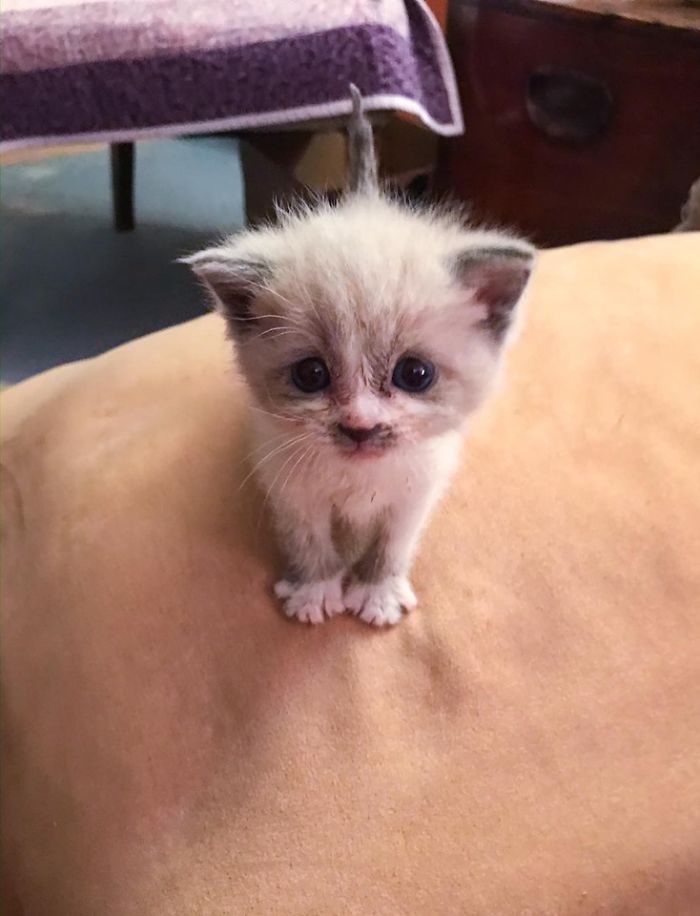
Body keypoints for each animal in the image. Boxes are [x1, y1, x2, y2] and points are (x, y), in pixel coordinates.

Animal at [186, 86, 536, 628]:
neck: (358, 477)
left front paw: (377, 593)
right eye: (311, 374)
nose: (360, 427)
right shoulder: (289, 487)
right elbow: (309, 542)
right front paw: (315, 591)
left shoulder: (416, 491)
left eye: (415, 374)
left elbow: (392, 546)